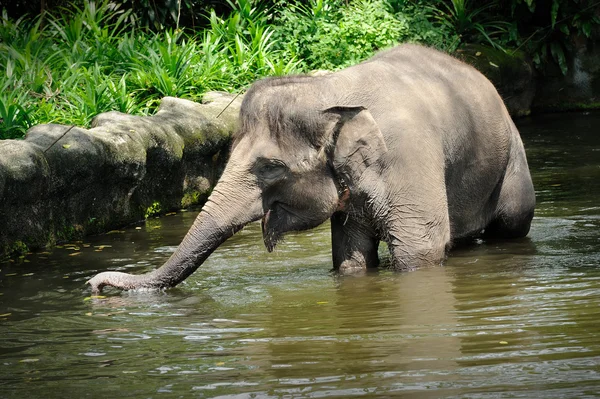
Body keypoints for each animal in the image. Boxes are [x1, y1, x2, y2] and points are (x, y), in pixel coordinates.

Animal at [86, 44, 536, 294]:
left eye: (270, 167)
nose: (94, 285)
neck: (330, 88)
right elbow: (351, 259)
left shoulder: (409, 158)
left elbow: (419, 252)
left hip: (513, 163)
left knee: (512, 222)